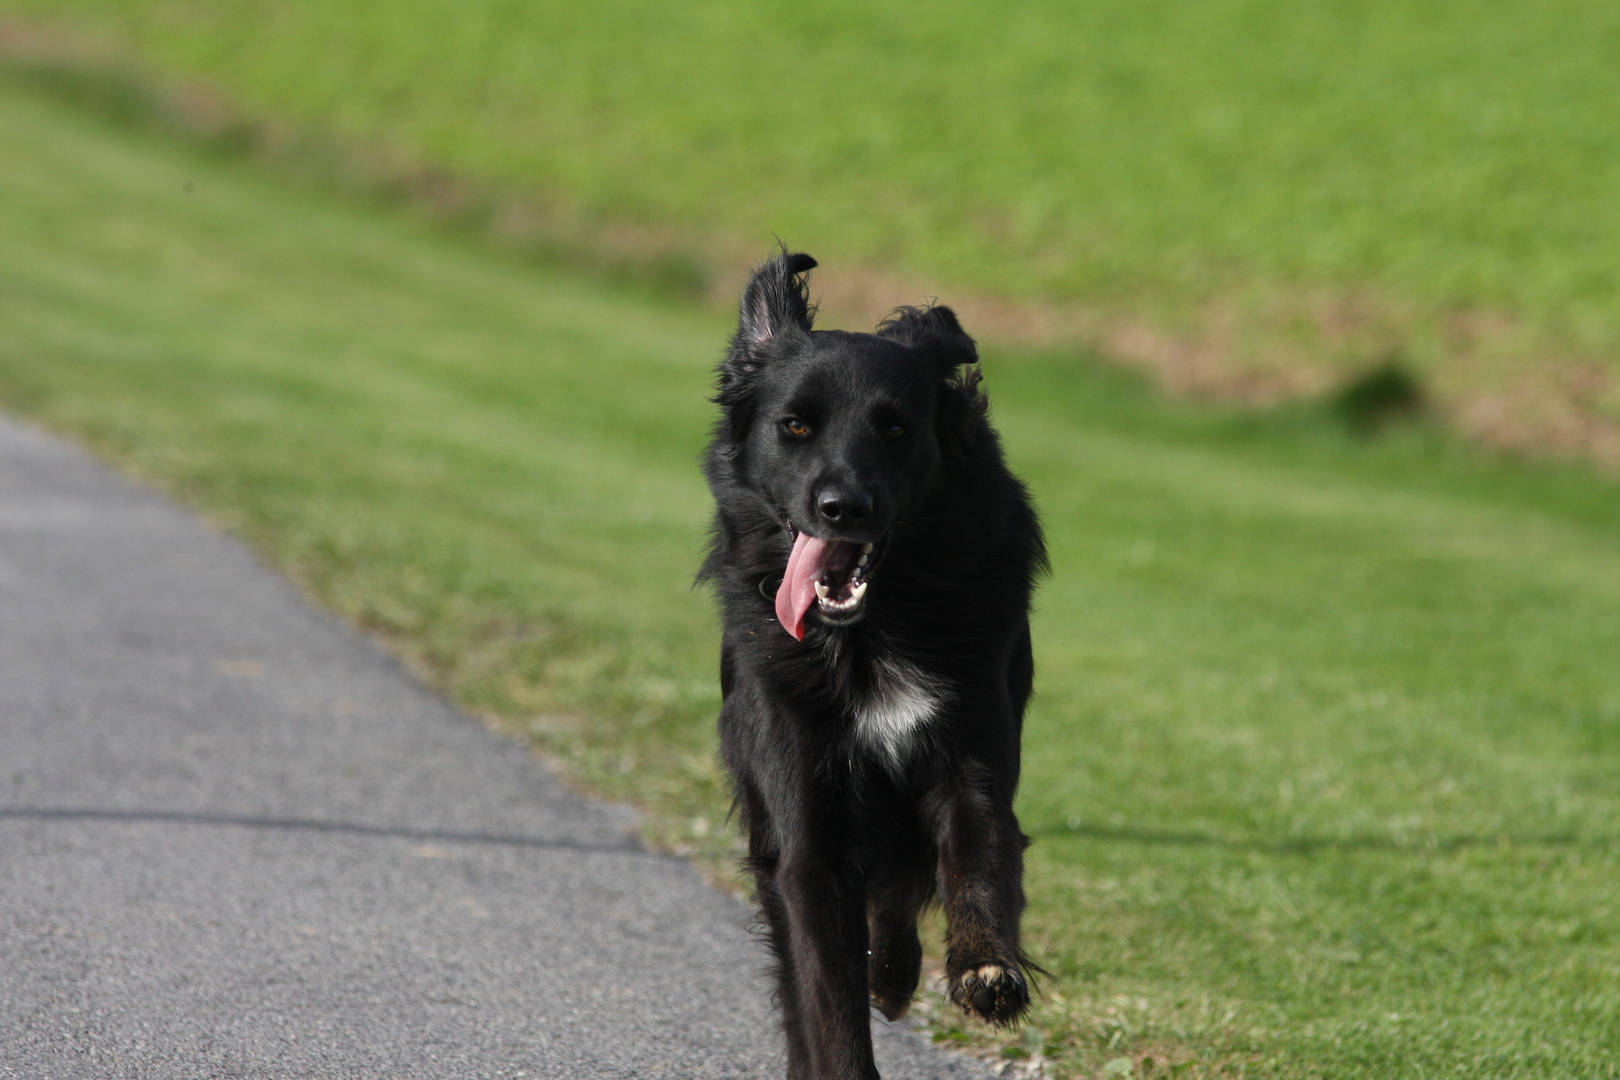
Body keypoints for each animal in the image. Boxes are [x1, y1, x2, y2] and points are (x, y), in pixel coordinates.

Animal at [699, 249, 1049, 1075]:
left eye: (895, 429)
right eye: (795, 425)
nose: (843, 507)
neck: (869, 634)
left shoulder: (970, 760)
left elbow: (978, 856)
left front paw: (986, 967)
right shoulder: (805, 836)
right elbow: (828, 1002)